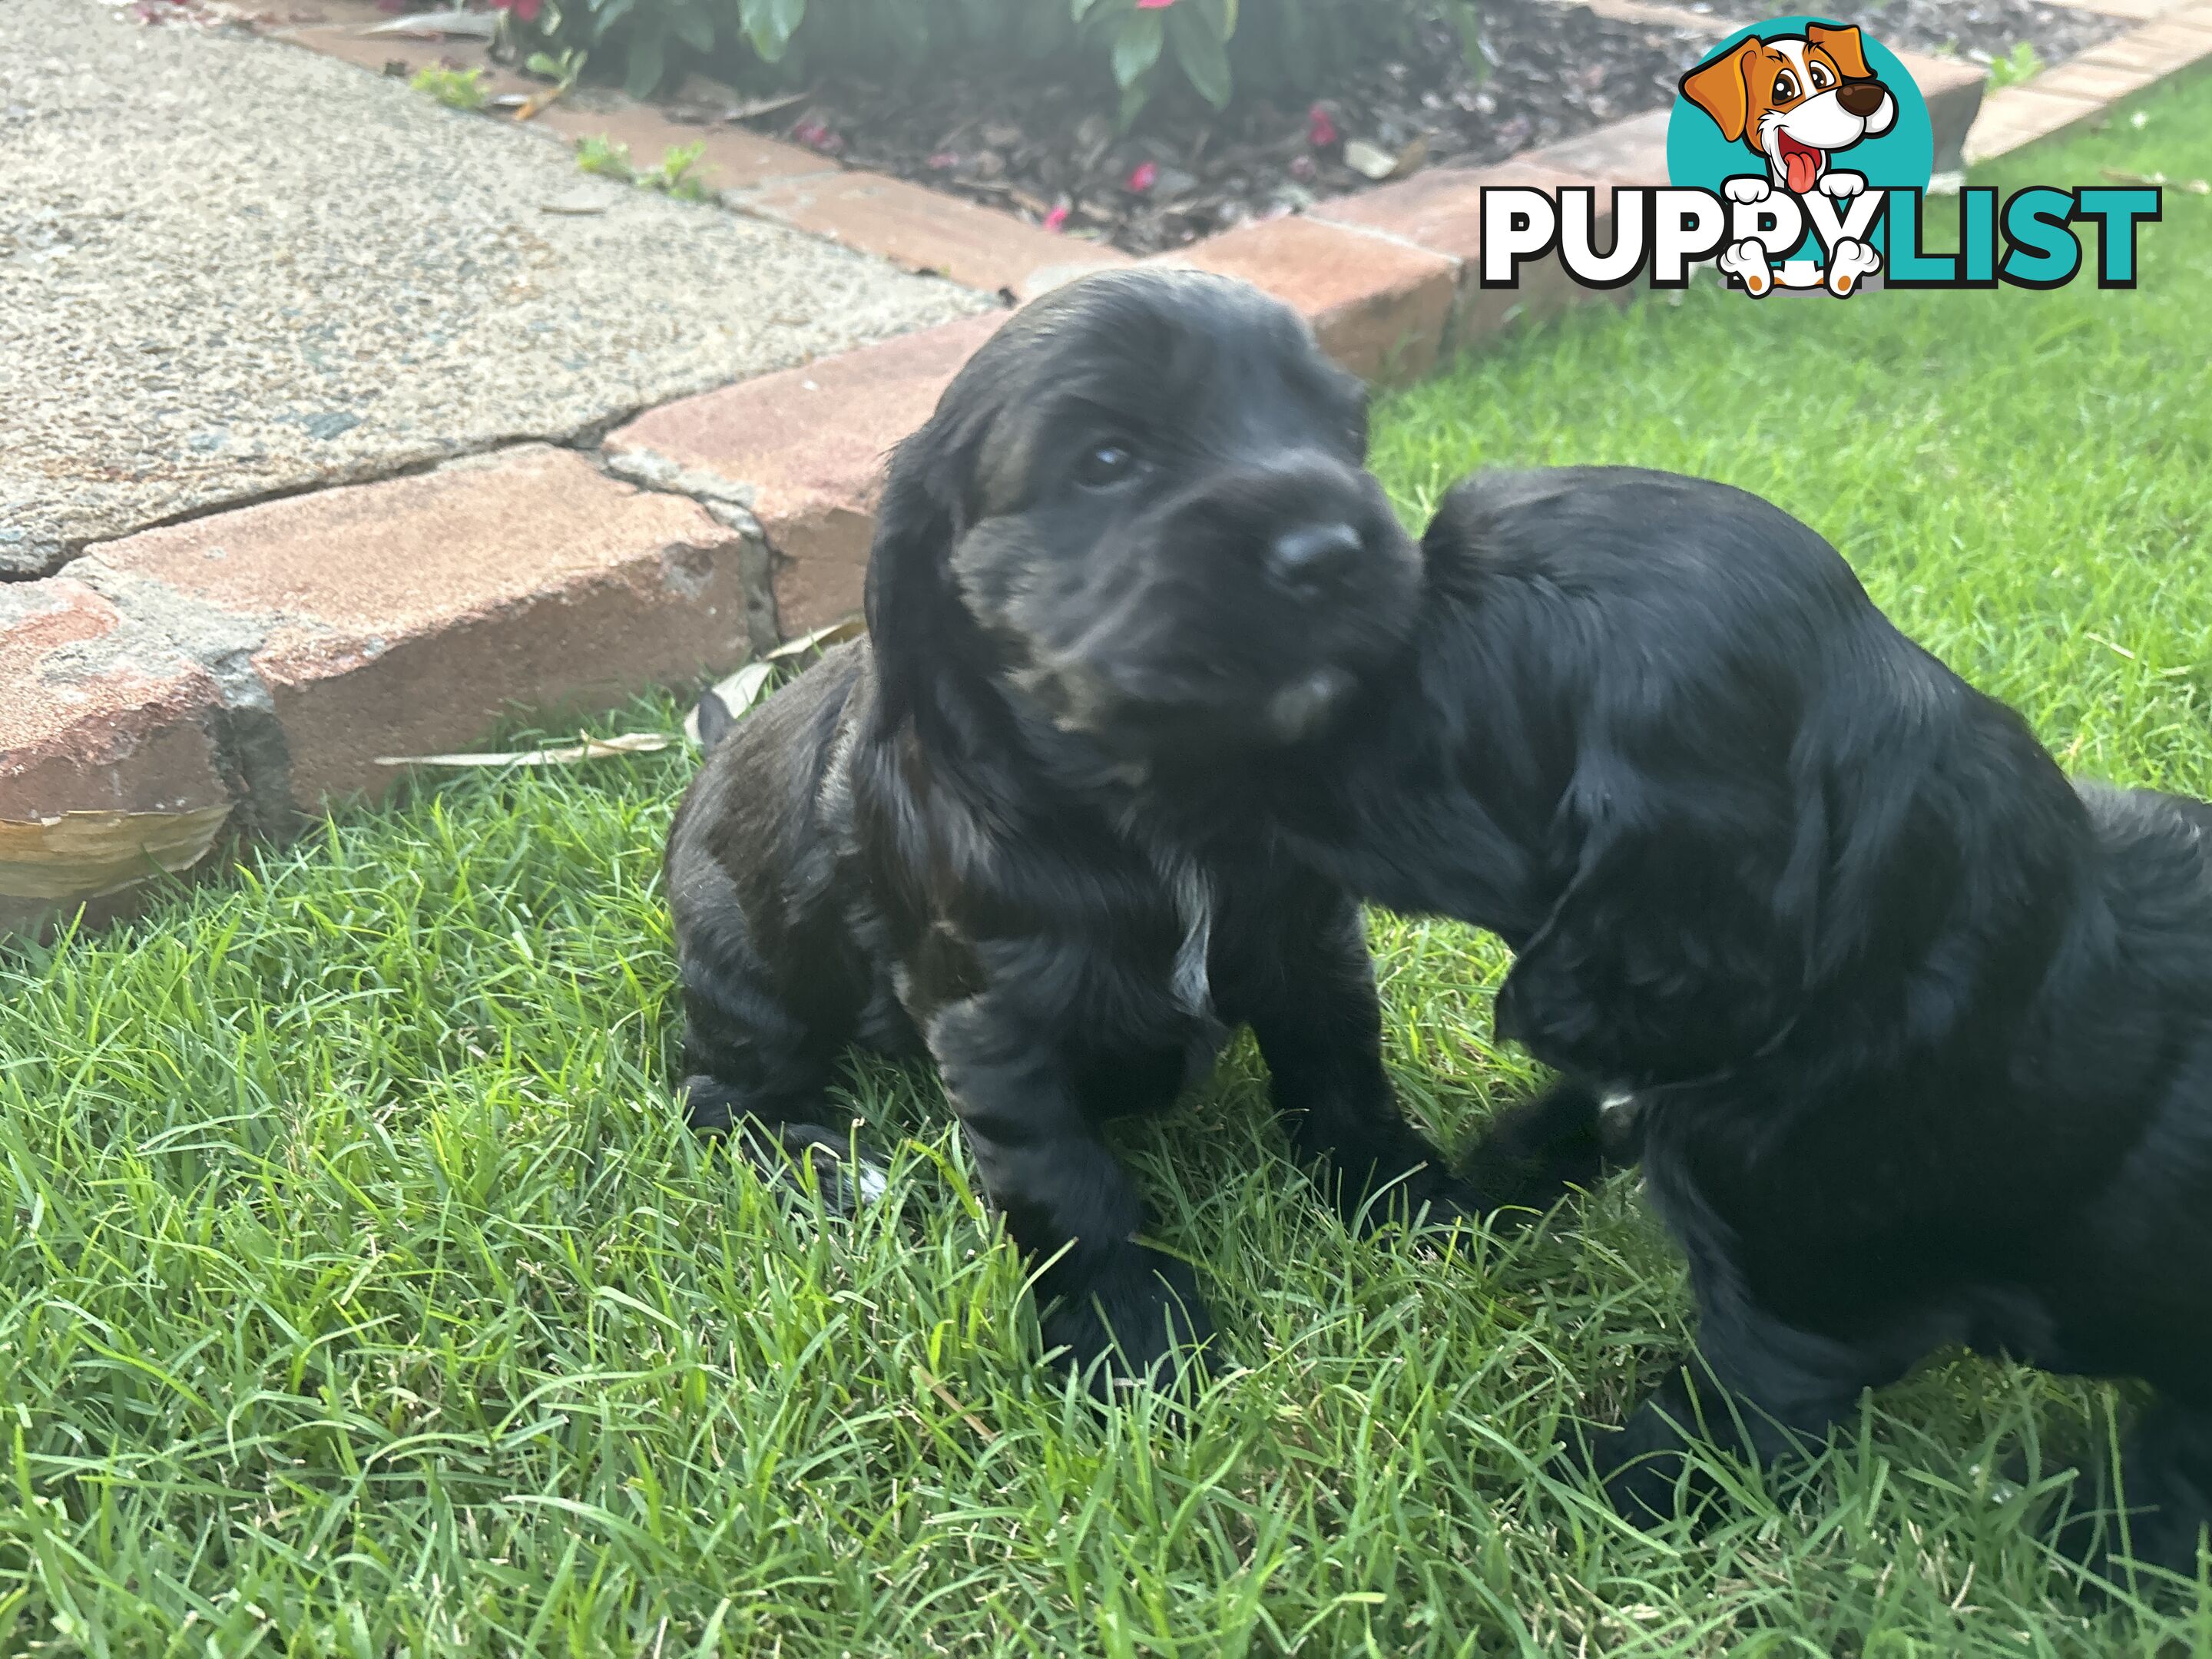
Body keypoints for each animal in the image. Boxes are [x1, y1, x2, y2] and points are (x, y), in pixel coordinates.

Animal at [664, 273, 1477, 1389]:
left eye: (1344, 432)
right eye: (1105, 461)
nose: (1332, 551)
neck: (1167, 806)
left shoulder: (1314, 941)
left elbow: (1342, 1064)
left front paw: (1407, 1194)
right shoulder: (996, 1026)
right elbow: (1065, 1184)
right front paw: (1129, 1337)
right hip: (756, 978)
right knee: (719, 1095)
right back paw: (837, 1171)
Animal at [1273, 471, 2212, 1584]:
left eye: (1433, 715)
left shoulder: (1799, 1318)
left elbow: (1690, 1430)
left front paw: (1557, 1506)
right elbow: (1579, 1106)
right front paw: (1464, 1194)